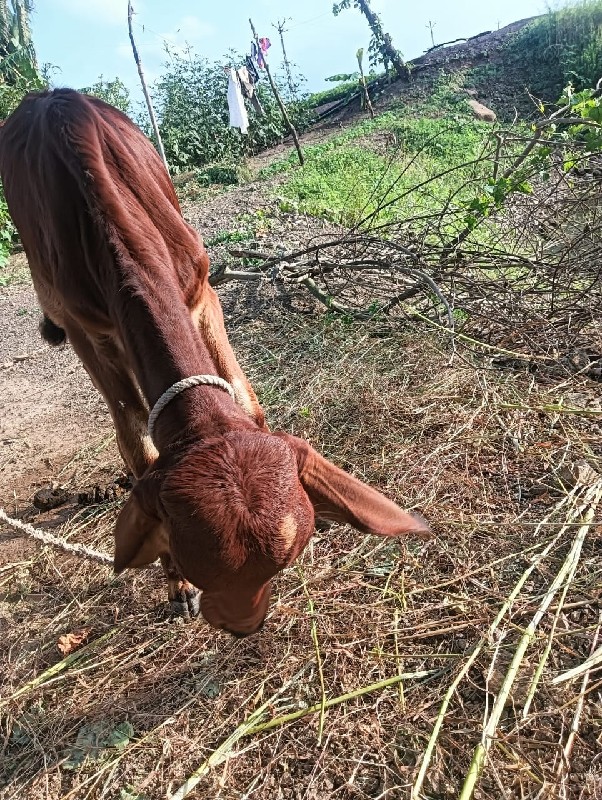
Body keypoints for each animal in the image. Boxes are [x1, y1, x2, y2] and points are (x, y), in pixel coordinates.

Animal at [0, 89, 426, 636]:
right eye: (194, 564)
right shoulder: (85, 331)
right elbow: (135, 440)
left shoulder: (201, 290)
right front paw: (175, 586)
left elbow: (246, 399)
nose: (243, 624)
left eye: (284, 562)